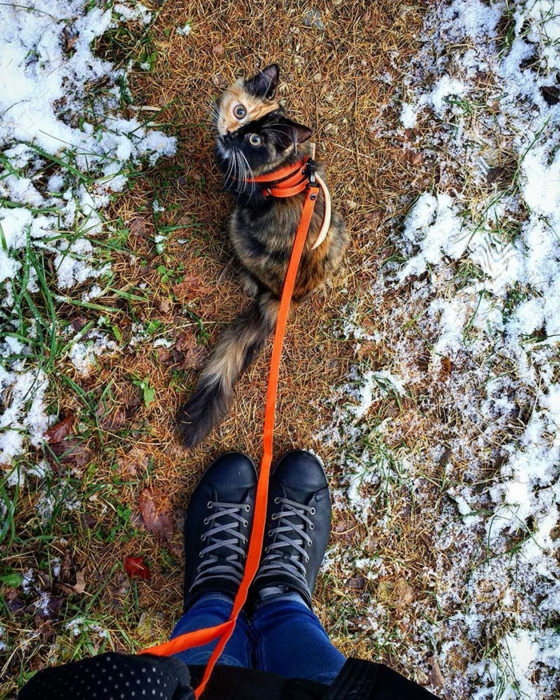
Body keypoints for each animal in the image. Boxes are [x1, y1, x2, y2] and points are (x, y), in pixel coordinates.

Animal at [177, 65, 348, 448]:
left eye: (255, 141)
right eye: (240, 112)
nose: (232, 134)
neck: (284, 166)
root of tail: (289, 296)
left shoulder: (243, 195)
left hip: (238, 229)